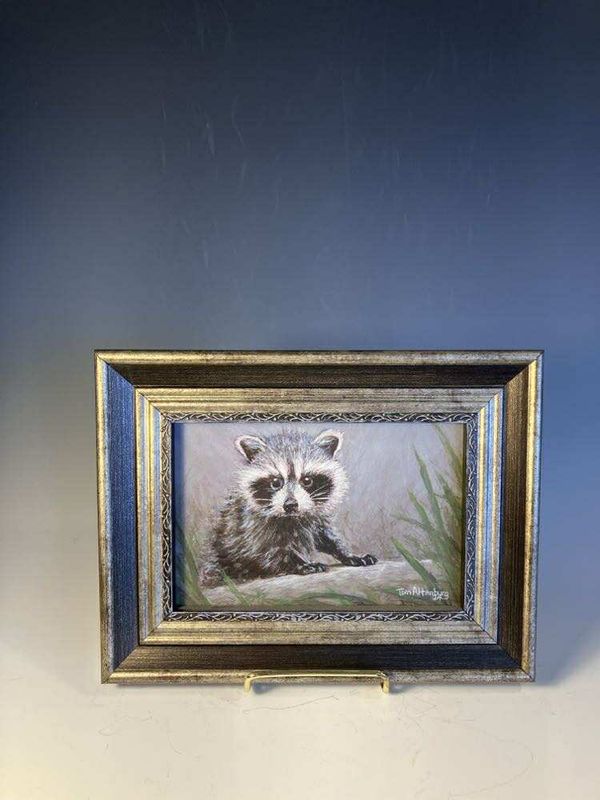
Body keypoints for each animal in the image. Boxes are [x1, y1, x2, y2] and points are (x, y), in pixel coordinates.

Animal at [202, 428, 377, 585]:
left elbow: (326, 535)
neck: (293, 517)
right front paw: (298, 563)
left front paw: (347, 553)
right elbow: (266, 549)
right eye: (276, 482)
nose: (291, 505)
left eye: (307, 480)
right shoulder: (252, 523)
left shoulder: (316, 516)